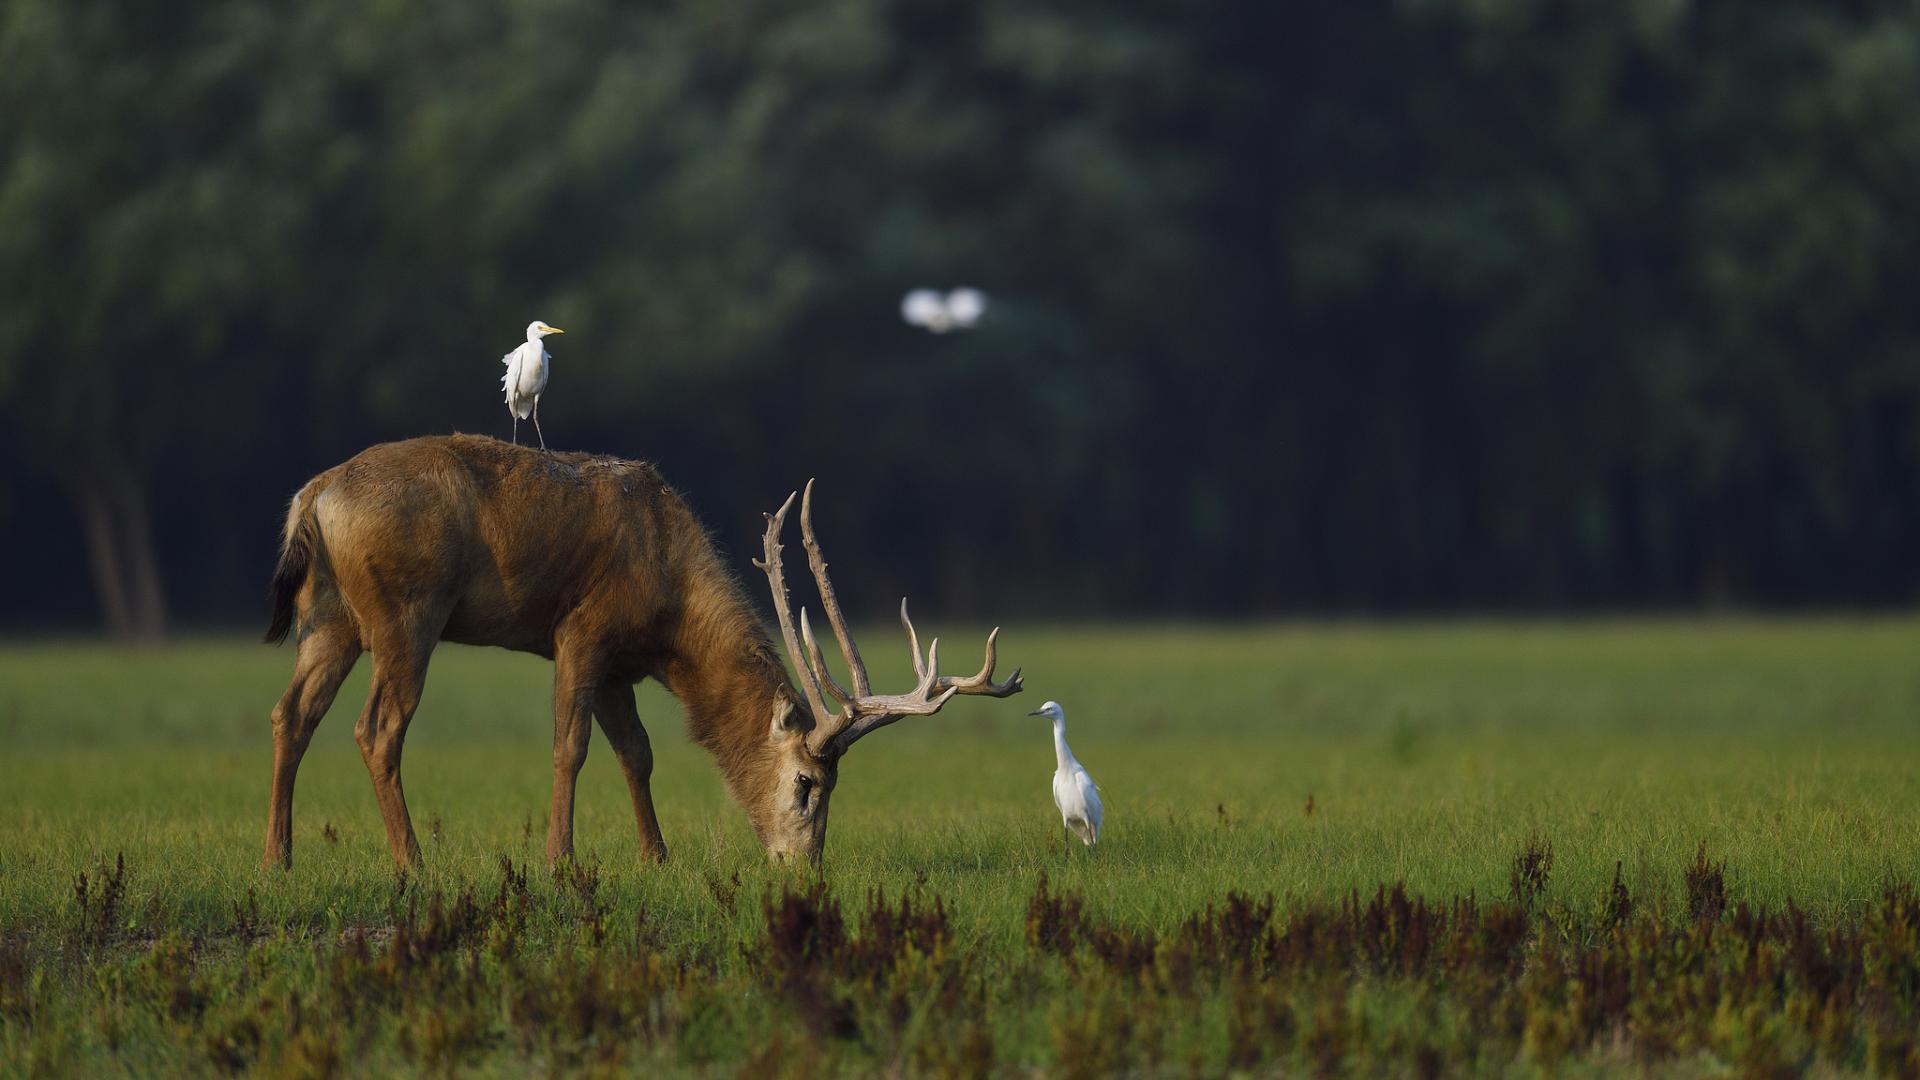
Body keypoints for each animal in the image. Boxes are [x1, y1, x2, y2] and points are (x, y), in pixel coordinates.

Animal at [266, 430, 1036, 864]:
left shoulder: (619, 666)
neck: (671, 614)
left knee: (291, 715)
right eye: (806, 784)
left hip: (329, 617)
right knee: (377, 728)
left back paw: (280, 859)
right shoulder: (582, 630)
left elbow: (637, 754)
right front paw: (561, 861)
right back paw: (412, 863)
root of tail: (312, 497)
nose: (804, 868)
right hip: (407, 611)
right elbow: (570, 746)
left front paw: (656, 857)